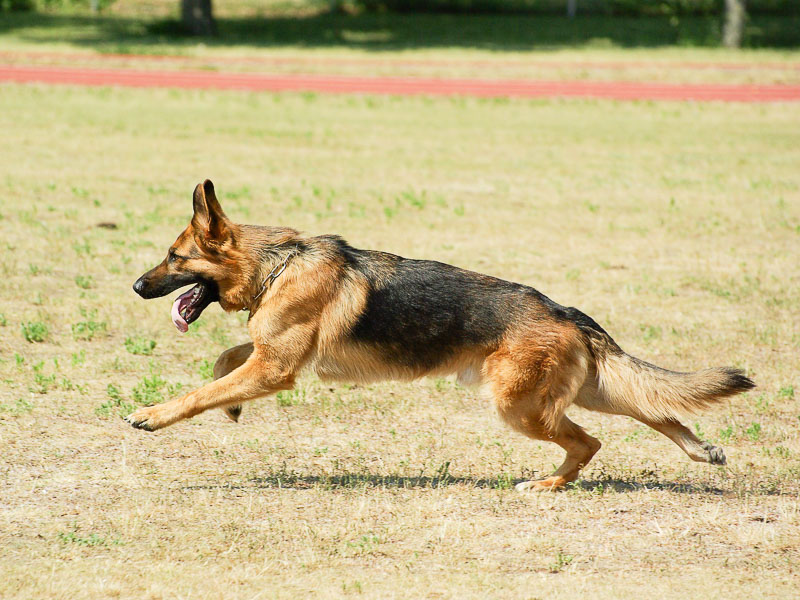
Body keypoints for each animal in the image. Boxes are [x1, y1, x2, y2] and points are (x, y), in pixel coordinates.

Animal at [130, 180, 756, 490]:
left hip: (521, 407)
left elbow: (202, 390)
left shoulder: (275, 368)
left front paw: (154, 415)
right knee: (655, 407)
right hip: (583, 390)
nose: (136, 286)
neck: (278, 264)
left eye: (173, 257)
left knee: (590, 442)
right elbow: (225, 362)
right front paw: (231, 407)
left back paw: (548, 486)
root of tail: (566, 312)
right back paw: (700, 450)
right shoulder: (270, 357)